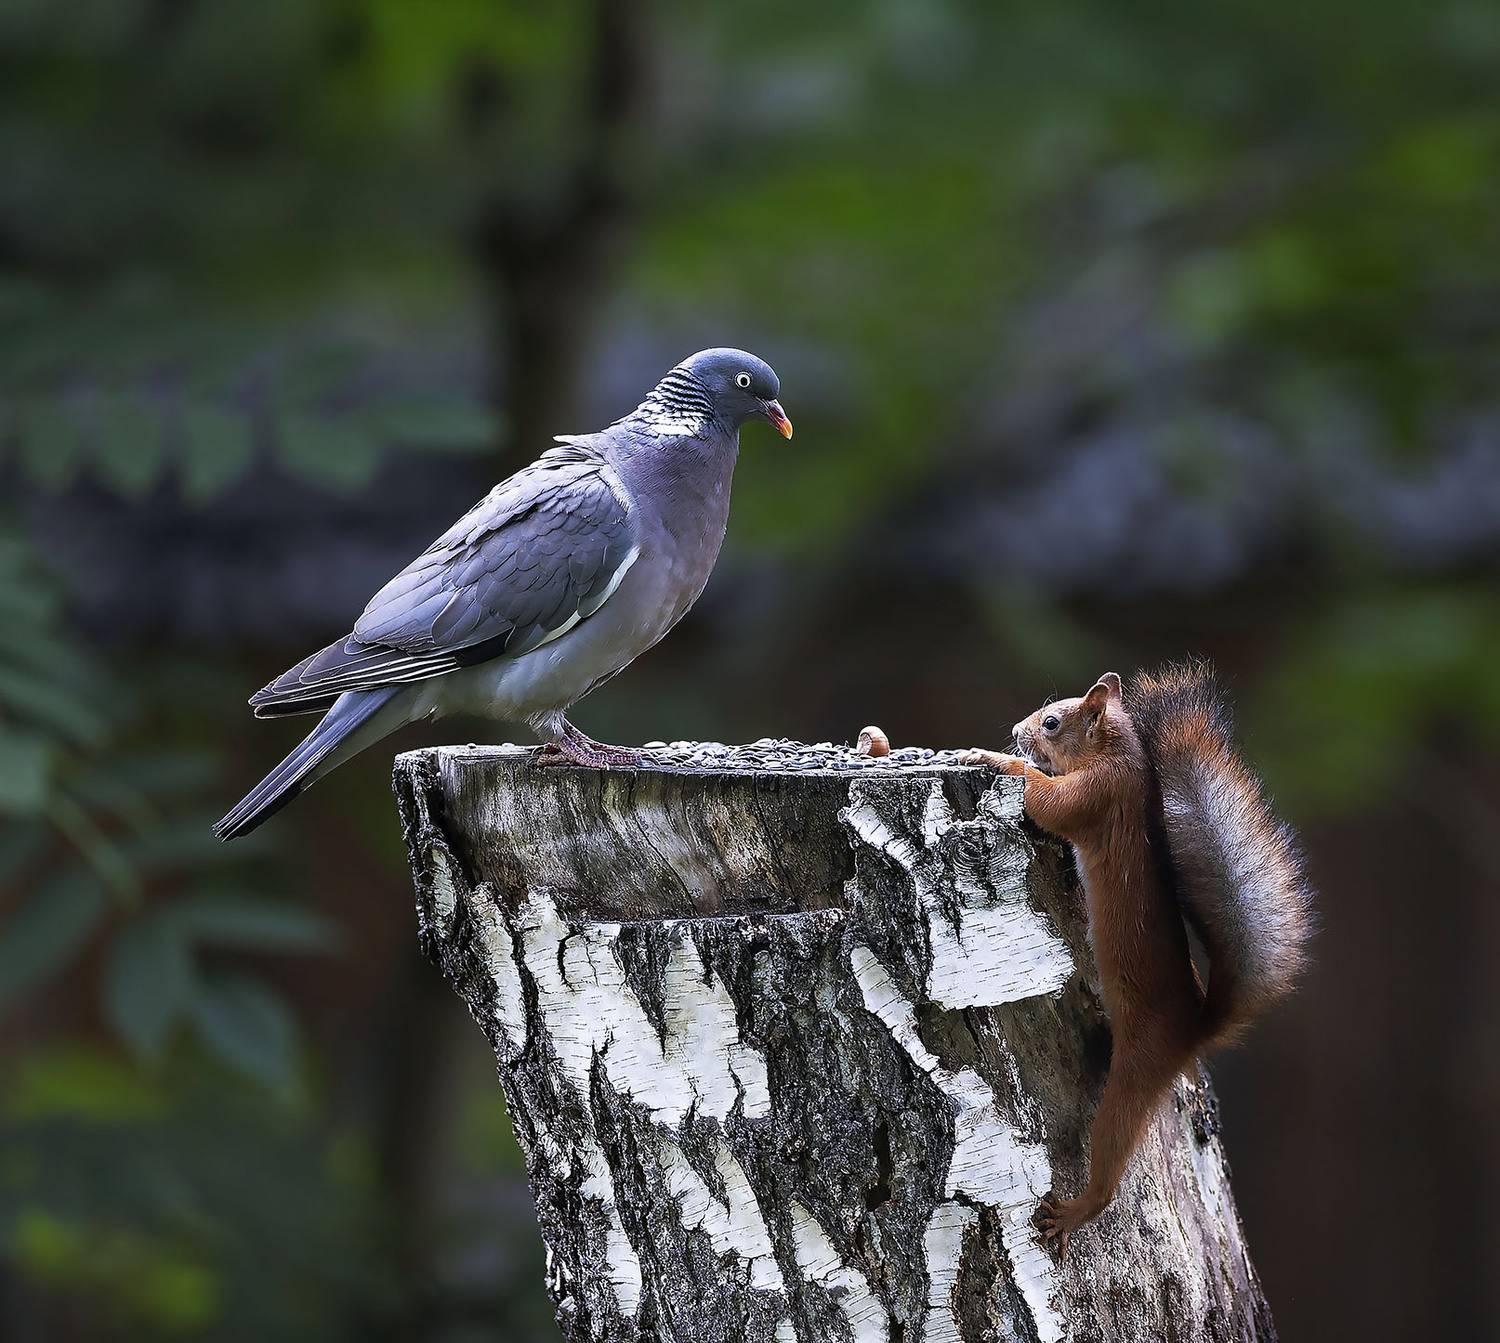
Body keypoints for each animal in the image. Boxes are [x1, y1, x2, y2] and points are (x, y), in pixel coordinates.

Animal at [961, 660, 1313, 1251]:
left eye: (1052, 722)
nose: (1016, 730)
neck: (1119, 756)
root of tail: (1194, 1028)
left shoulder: (1096, 795)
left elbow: (1046, 801)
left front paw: (994, 759)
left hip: (1139, 1069)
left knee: (1111, 1153)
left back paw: (1076, 1211)